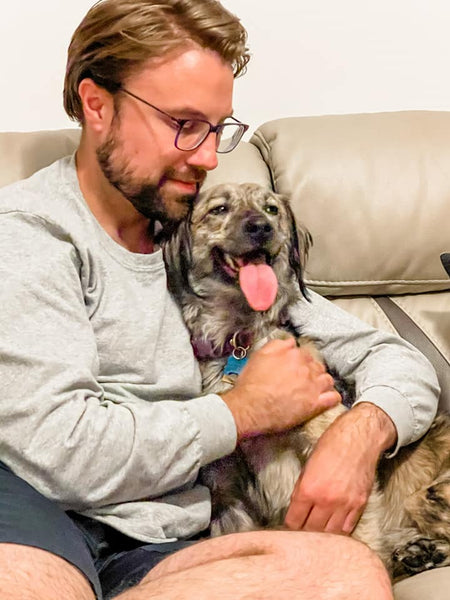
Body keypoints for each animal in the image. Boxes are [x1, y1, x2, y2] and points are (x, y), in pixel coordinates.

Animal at [162, 181, 450, 581]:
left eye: (271, 209)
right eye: (219, 209)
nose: (261, 228)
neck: (239, 335)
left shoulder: (332, 460)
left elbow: (360, 537)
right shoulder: (226, 491)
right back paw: (420, 552)